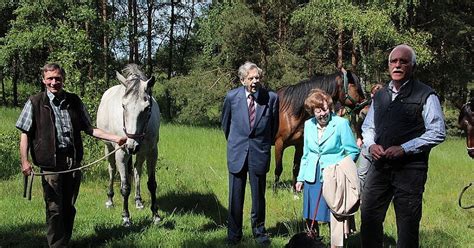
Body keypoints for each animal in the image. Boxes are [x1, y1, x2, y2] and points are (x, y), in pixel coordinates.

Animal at [96, 63, 161, 226]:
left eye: (147, 108)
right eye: (123, 106)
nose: (131, 146)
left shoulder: (152, 152)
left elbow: (152, 184)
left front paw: (155, 215)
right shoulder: (121, 153)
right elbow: (125, 186)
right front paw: (125, 217)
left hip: (141, 153)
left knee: (137, 171)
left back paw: (138, 201)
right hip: (109, 148)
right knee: (112, 170)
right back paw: (110, 200)